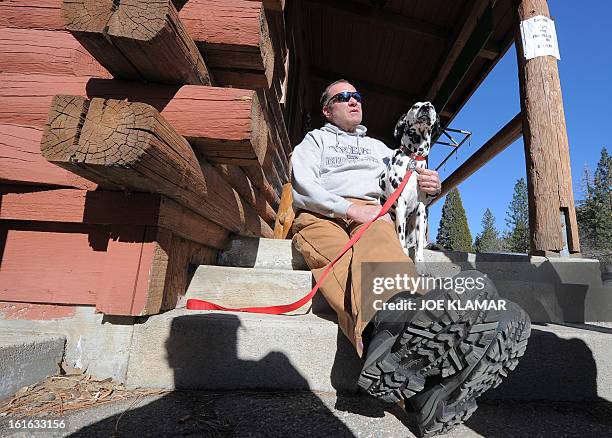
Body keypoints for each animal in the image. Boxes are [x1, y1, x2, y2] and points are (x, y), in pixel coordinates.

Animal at [378, 101, 440, 262]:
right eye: (415, 106)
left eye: (432, 106)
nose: (425, 106)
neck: (413, 158)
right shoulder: (401, 205)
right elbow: (401, 241)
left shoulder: (421, 210)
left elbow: (419, 246)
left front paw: (420, 260)